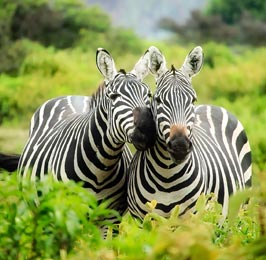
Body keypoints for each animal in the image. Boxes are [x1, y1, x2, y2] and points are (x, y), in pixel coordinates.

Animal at [18, 47, 156, 219]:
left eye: (148, 95)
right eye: (114, 96)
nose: (148, 130)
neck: (101, 168)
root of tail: (71, 95)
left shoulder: (111, 216)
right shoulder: (68, 212)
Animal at [127, 45, 251, 219]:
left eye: (193, 100)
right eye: (158, 100)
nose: (180, 146)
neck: (167, 176)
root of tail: (212, 106)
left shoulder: (192, 219)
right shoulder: (140, 219)